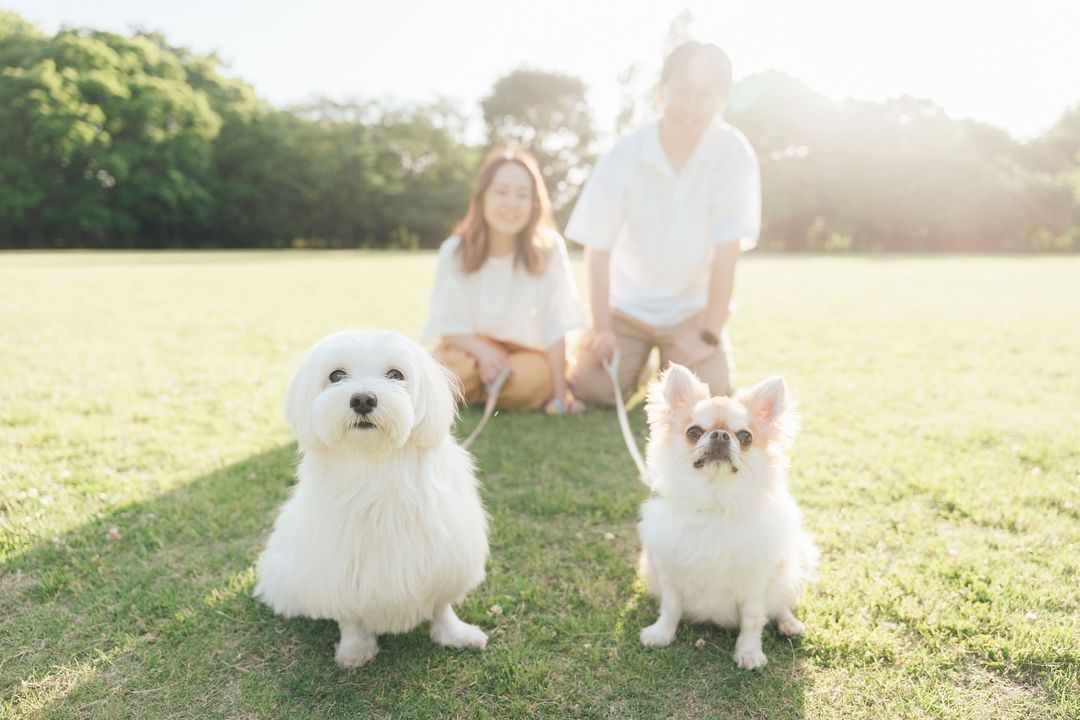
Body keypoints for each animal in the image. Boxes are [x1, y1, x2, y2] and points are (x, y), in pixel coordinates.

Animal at [254, 329, 489, 668]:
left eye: (396, 374)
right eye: (336, 375)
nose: (363, 399)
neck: (375, 460)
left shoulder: (445, 554)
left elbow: (441, 605)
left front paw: (454, 634)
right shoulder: (338, 567)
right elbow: (349, 617)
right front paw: (354, 651)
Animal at [636, 364, 818, 669]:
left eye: (745, 437)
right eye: (694, 431)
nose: (721, 435)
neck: (715, 502)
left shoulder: (756, 580)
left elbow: (753, 619)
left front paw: (749, 652)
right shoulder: (669, 569)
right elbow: (671, 607)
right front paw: (662, 633)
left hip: (797, 559)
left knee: (780, 603)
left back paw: (789, 624)